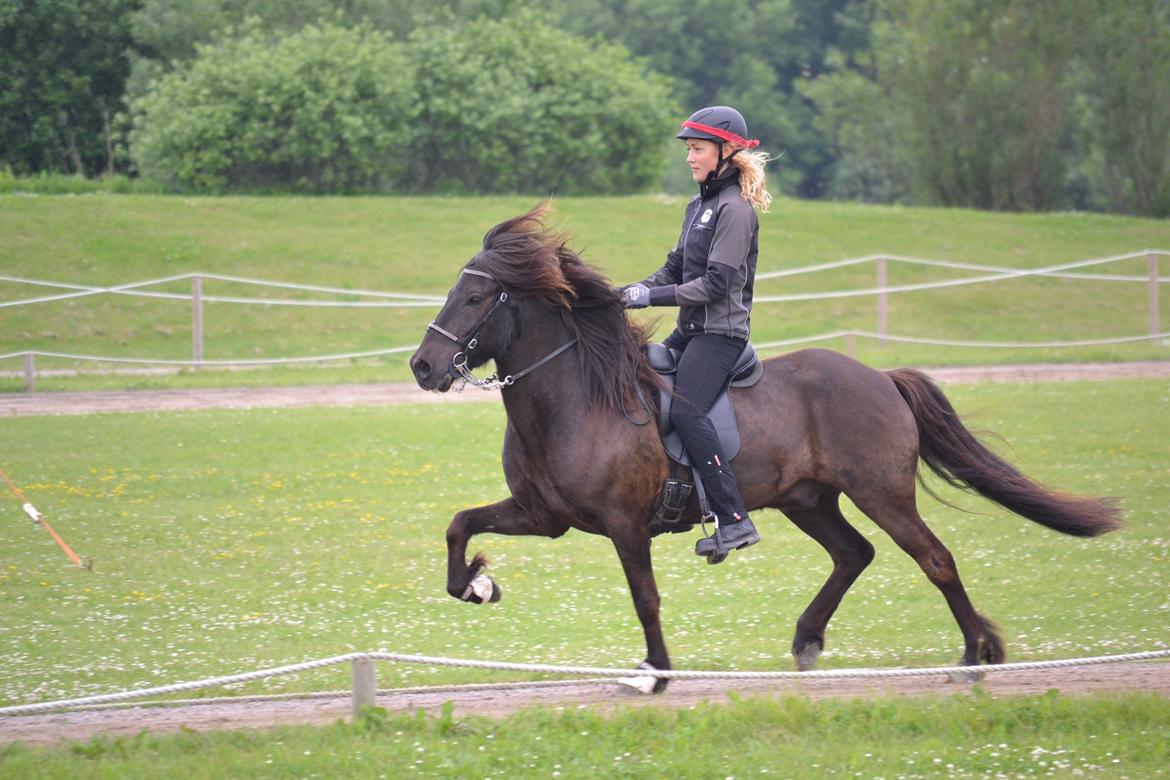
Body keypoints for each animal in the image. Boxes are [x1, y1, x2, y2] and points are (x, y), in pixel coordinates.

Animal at [409, 204, 1123, 692]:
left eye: (476, 296)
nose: (422, 366)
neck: (578, 398)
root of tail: (880, 377)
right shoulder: (545, 516)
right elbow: (459, 526)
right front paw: (477, 585)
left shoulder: (624, 523)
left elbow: (645, 598)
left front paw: (654, 673)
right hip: (807, 500)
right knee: (854, 554)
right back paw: (809, 640)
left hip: (882, 493)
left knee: (936, 560)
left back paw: (974, 657)